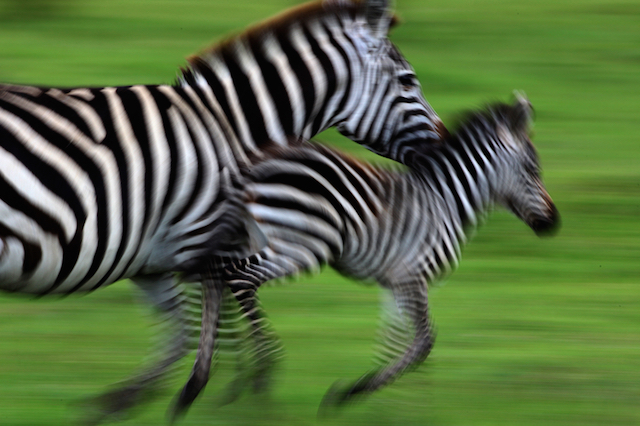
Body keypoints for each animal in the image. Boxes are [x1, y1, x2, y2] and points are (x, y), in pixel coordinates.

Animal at [0, 0, 446, 420]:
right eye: (408, 81)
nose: (442, 147)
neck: (229, 128)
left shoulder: (155, 256)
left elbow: (185, 332)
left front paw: (133, 402)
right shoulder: (199, 239)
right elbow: (218, 313)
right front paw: (243, 387)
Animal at [183, 94, 559, 414]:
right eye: (533, 169)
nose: (553, 224)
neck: (446, 201)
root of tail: (252, 166)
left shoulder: (395, 281)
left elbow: (394, 342)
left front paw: (395, 406)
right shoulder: (412, 274)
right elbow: (424, 342)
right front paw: (351, 395)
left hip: (252, 236)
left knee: (214, 273)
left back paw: (206, 383)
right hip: (301, 247)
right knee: (239, 278)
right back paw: (260, 375)